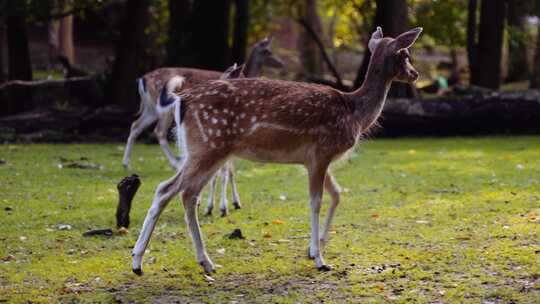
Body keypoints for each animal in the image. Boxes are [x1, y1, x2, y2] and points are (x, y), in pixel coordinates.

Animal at [131, 26, 422, 274]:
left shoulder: (313, 159)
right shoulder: (321, 151)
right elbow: (316, 201)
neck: (355, 114)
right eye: (405, 54)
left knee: (183, 193)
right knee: (170, 189)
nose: (415, 74)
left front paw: (316, 247)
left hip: (206, 150)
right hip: (208, 145)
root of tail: (182, 100)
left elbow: (337, 194)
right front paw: (320, 259)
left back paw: (191, 262)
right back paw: (144, 261)